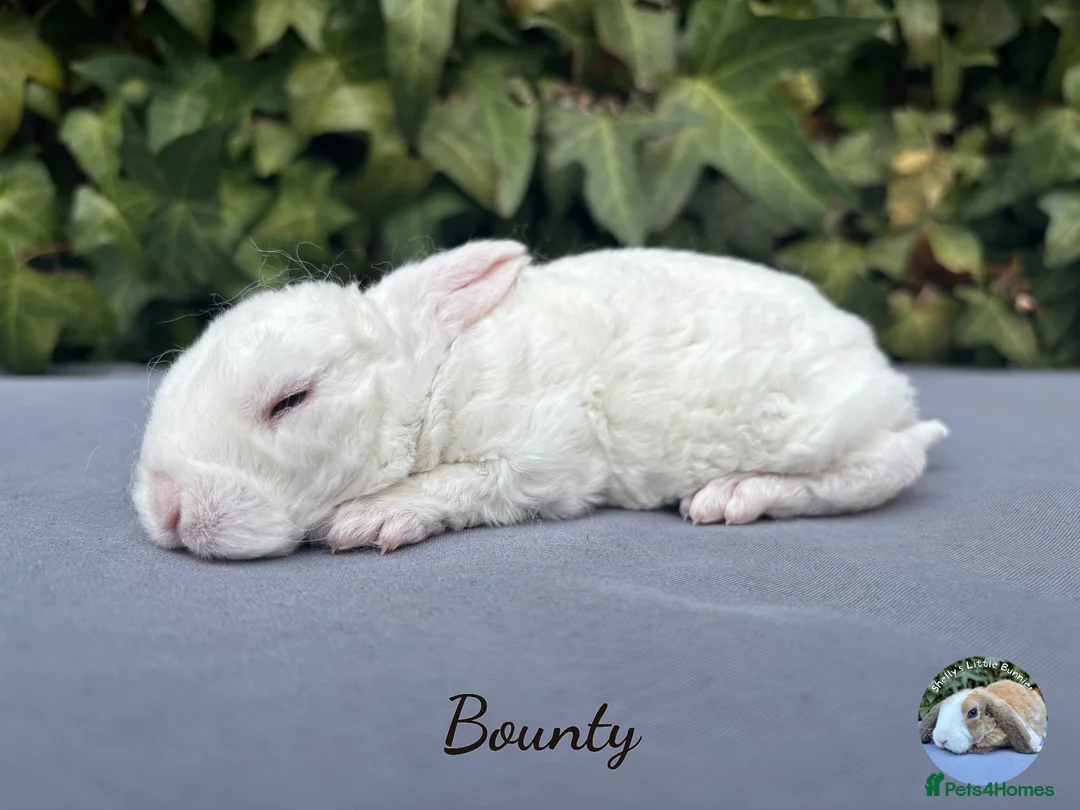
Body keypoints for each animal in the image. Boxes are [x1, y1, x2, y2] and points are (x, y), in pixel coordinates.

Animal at [132, 239, 948, 559]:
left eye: (291, 400)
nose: (167, 507)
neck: (433, 382)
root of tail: (882, 373)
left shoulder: (544, 457)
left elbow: (467, 483)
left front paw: (371, 518)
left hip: (816, 431)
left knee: (886, 467)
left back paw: (734, 494)